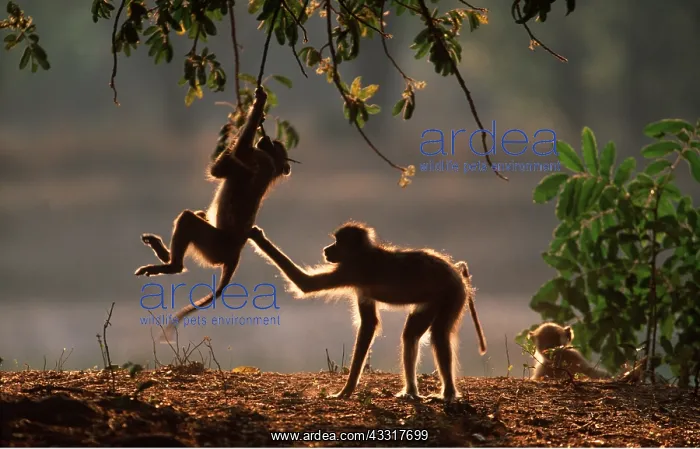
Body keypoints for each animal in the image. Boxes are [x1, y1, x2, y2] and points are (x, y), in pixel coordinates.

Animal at [134, 87, 293, 341]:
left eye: (275, 145)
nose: (266, 139)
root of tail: (235, 253)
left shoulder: (258, 159)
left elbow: (219, 170)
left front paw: (258, 105)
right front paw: (258, 113)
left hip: (215, 247)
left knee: (188, 219)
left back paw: (171, 265)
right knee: (196, 214)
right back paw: (163, 253)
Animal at [247, 222, 488, 401]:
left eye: (337, 242)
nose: (326, 250)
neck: (362, 253)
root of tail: (455, 272)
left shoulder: (351, 270)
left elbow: (306, 284)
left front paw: (258, 237)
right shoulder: (359, 285)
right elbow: (369, 323)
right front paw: (348, 389)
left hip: (452, 294)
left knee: (438, 334)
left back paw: (448, 394)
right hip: (434, 300)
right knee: (411, 335)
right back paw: (410, 392)